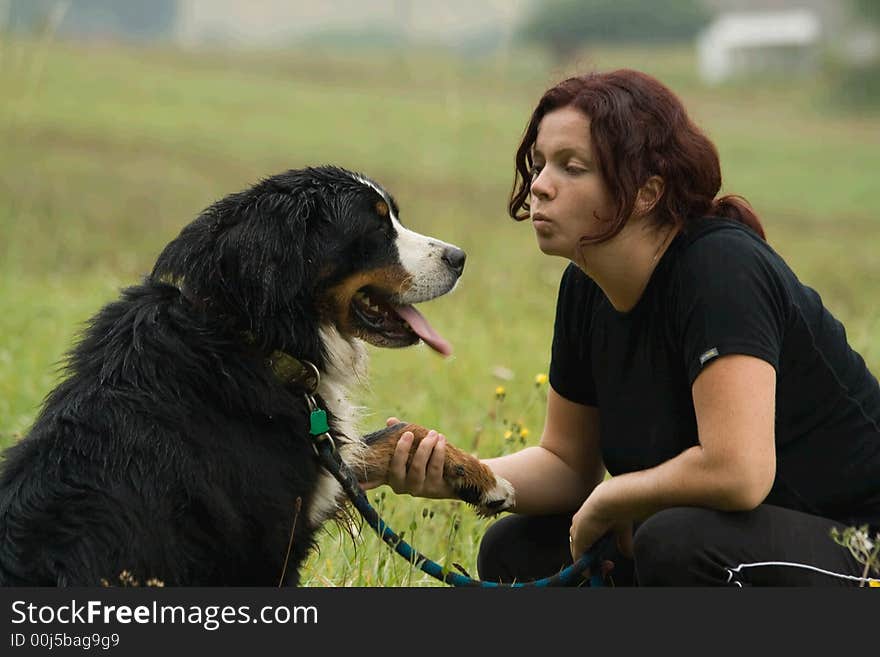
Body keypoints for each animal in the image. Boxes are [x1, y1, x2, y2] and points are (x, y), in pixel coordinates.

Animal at [0, 165, 516, 584]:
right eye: (375, 225)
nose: (460, 257)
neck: (253, 343)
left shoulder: (322, 461)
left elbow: (394, 437)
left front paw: (483, 478)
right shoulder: (270, 548)